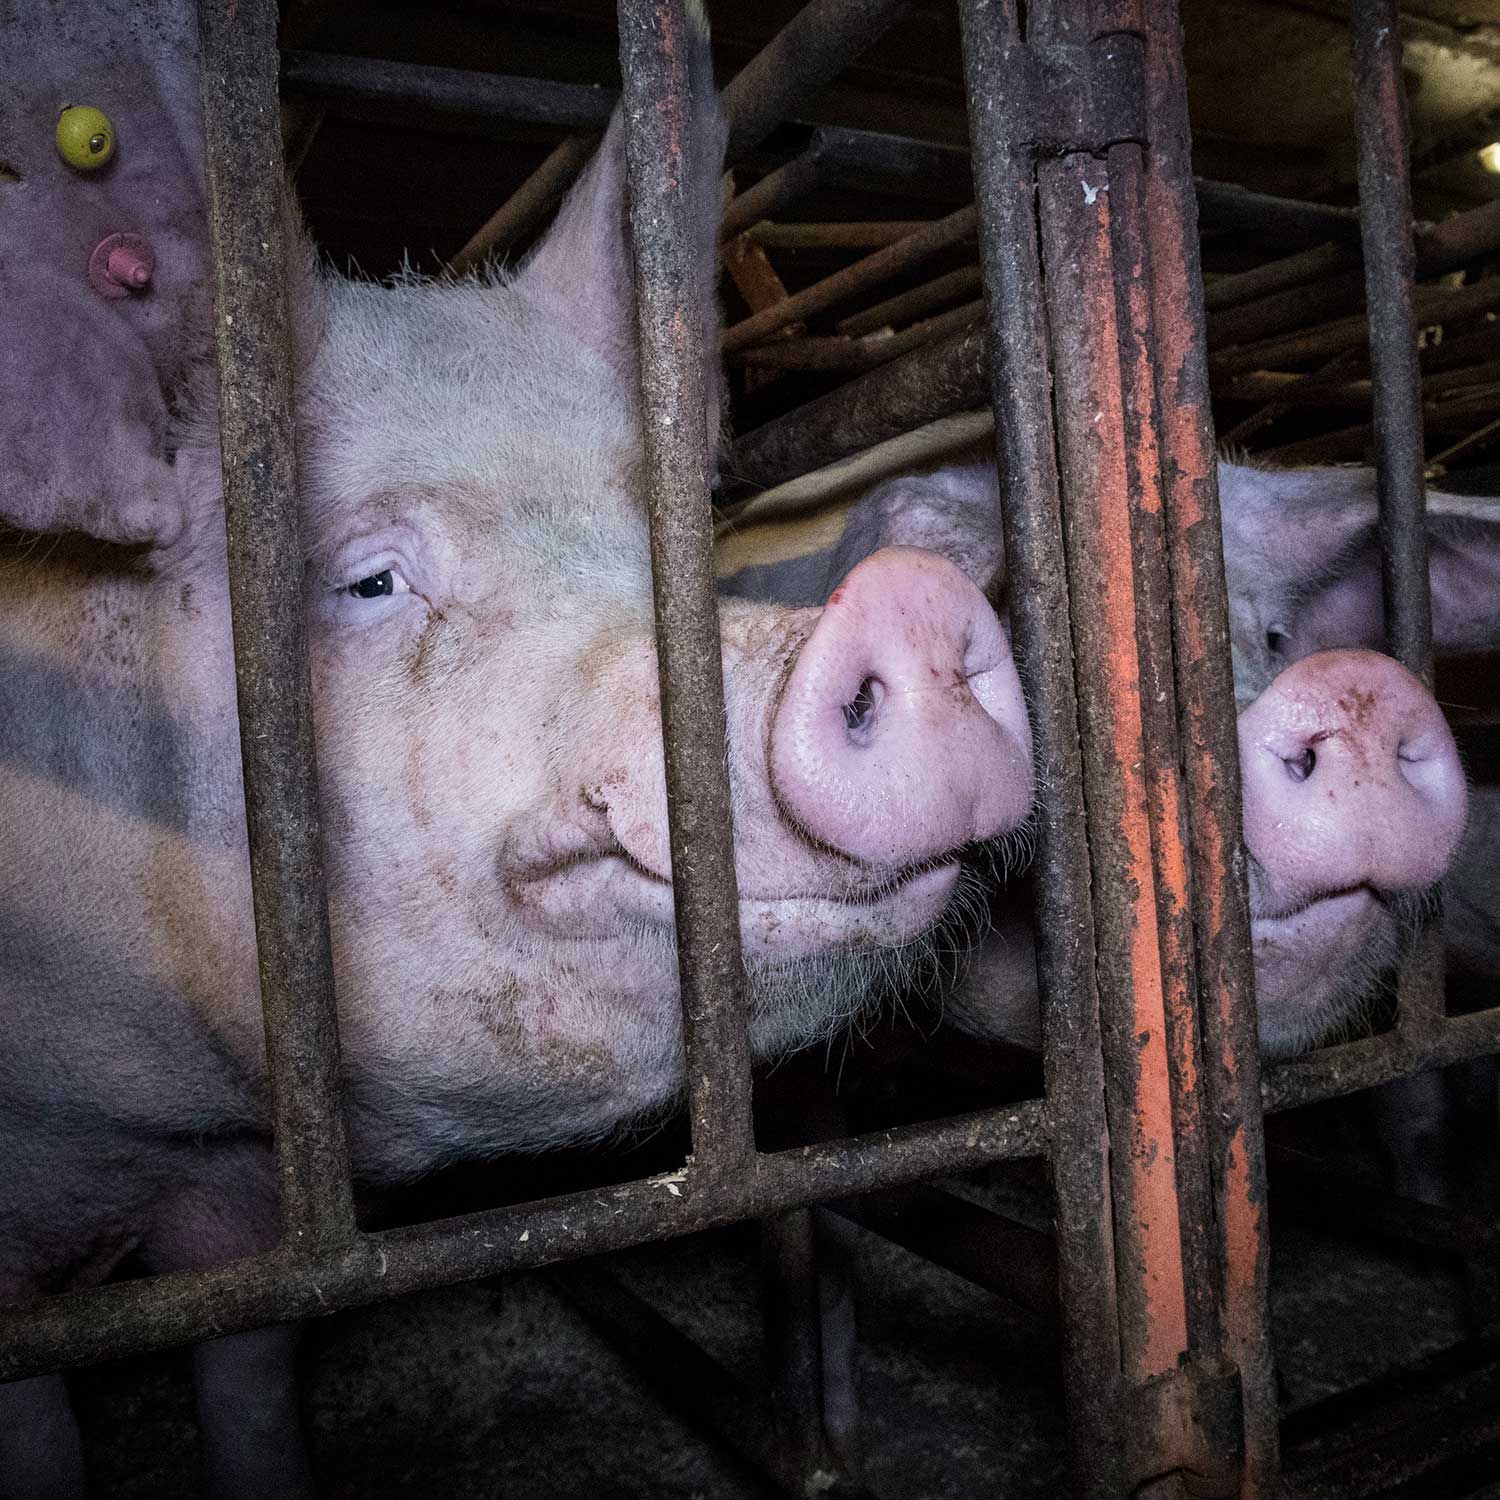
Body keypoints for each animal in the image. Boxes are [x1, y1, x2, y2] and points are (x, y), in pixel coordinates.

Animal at [0, 5, 1038, 1494]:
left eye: (670, 541)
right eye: (368, 580)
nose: (911, 596)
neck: (149, 1107)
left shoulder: (246, 1189)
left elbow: (249, 1378)